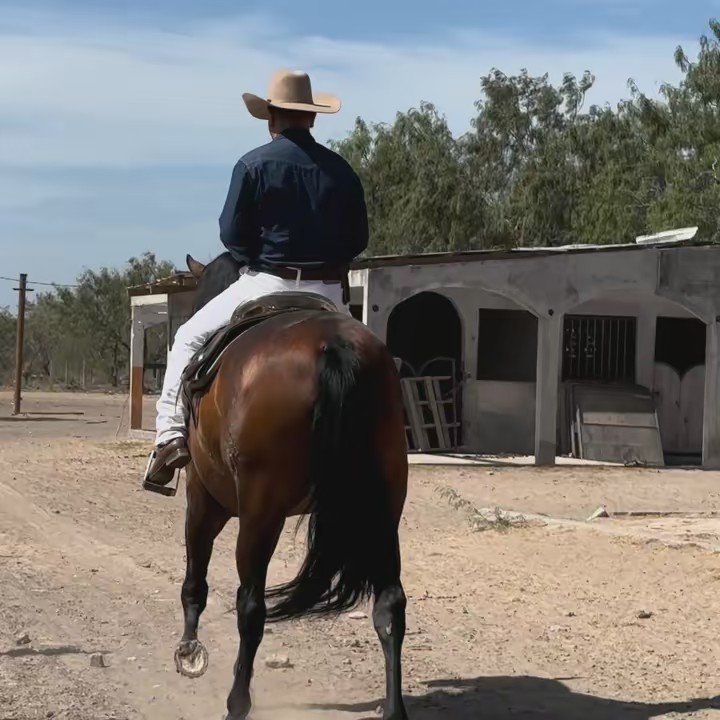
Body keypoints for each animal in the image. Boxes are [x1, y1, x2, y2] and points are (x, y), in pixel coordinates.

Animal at [170, 252, 410, 720]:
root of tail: (333, 346)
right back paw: (394, 710)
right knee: (391, 604)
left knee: (251, 606)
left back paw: (237, 702)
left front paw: (189, 650)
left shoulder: (203, 498)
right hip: (383, 507)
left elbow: (196, 576)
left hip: (261, 513)